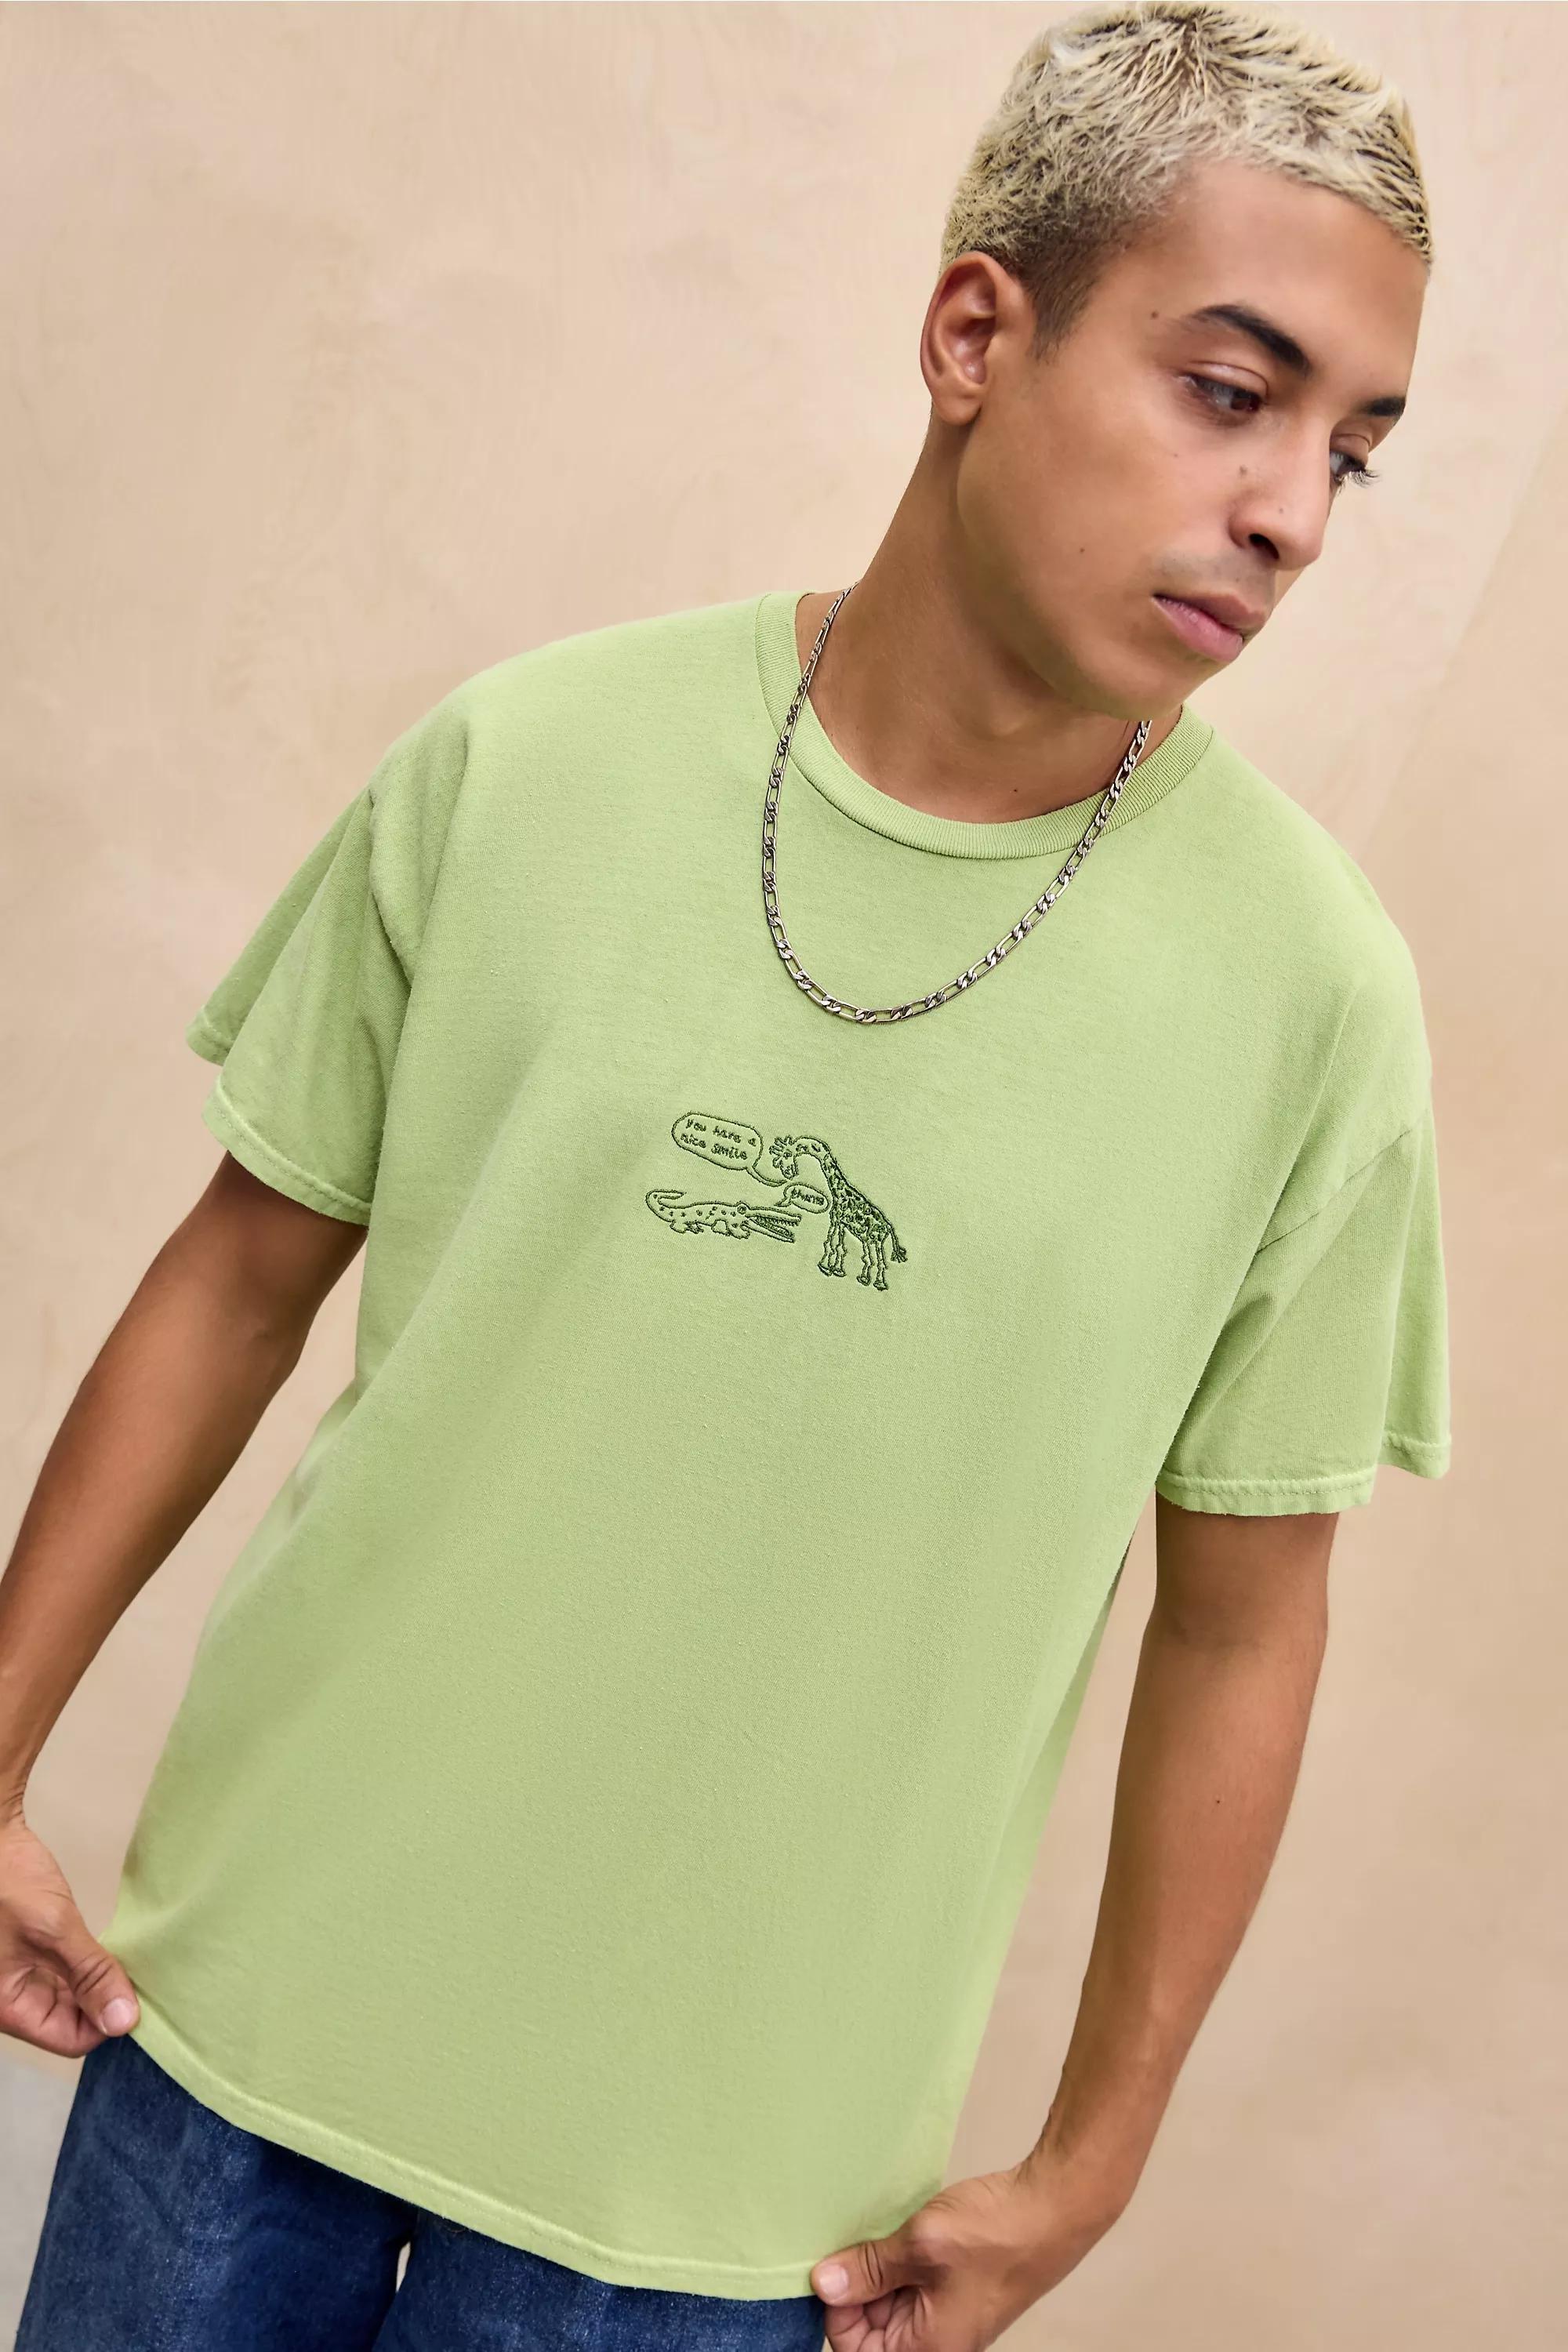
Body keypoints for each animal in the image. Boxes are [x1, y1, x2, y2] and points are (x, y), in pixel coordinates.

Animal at [766, 1135, 907, 1291]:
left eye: (787, 1154)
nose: (788, 1172)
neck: (838, 1192)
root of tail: (888, 1226)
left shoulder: (835, 1219)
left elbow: (830, 1244)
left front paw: (824, 1267)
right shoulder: (841, 1223)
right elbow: (839, 1247)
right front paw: (837, 1270)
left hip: (876, 1240)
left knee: (880, 1262)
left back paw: (878, 1284)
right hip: (869, 1240)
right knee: (871, 1259)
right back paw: (865, 1279)